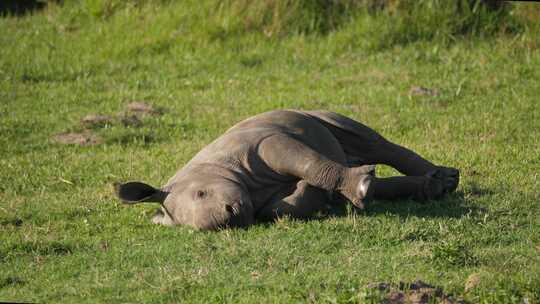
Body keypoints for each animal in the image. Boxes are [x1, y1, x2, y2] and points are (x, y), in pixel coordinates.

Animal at [115, 110, 460, 230]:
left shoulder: (262, 144)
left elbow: (306, 162)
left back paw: (447, 180)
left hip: (313, 113)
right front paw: (318, 195)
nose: (227, 219)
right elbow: (280, 209)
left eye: (201, 193)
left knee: (367, 139)